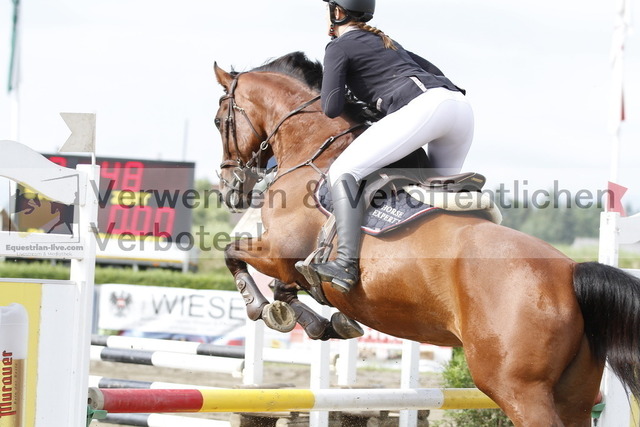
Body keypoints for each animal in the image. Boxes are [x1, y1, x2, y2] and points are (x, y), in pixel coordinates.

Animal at [213, 51, 640, 426]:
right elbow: (285, 286)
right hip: (575, 393)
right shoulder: (286, 260)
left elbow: (234, 253)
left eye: (219, 120)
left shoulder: (280, 250)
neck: (312, 150)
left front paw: (261, 307)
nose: (230, 188)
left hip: (518, 388)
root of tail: (569, 273)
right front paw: (319, 322)